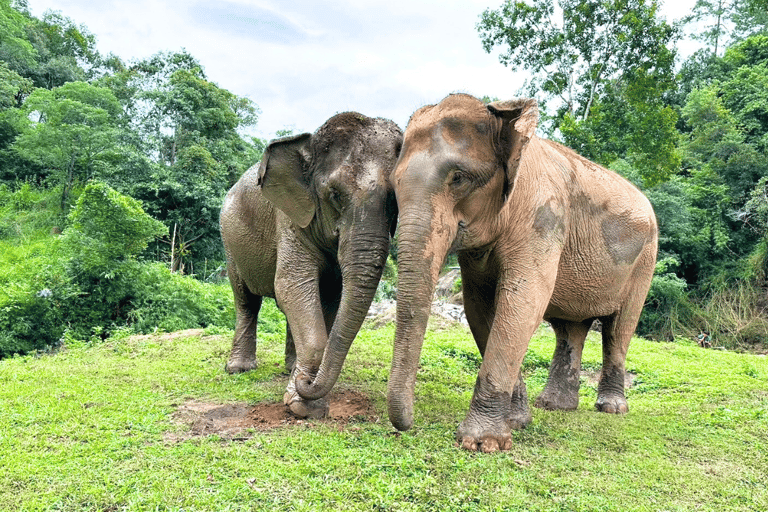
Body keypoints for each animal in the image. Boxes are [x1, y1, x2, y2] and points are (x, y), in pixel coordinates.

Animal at [220, 112, 402, 419]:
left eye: (396, 203)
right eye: (335, 195)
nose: (307, 383)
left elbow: (329, 296)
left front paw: (303, 392)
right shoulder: (289, 220)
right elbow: (291, 286)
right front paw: (303, 405)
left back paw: (290, 368)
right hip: (229, 240)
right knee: (246, 300)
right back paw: (239, 370)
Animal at [379, 93, 656, 452]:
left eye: (459, 178)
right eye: (393, 183)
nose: (407, 426)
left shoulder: (543, 219)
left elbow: (523, 301)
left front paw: (480, 443)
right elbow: (479, 306)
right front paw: (516, 423)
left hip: (644, 262)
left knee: (619, 328)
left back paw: (611, 408)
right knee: (570, 329)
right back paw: (554, 406)